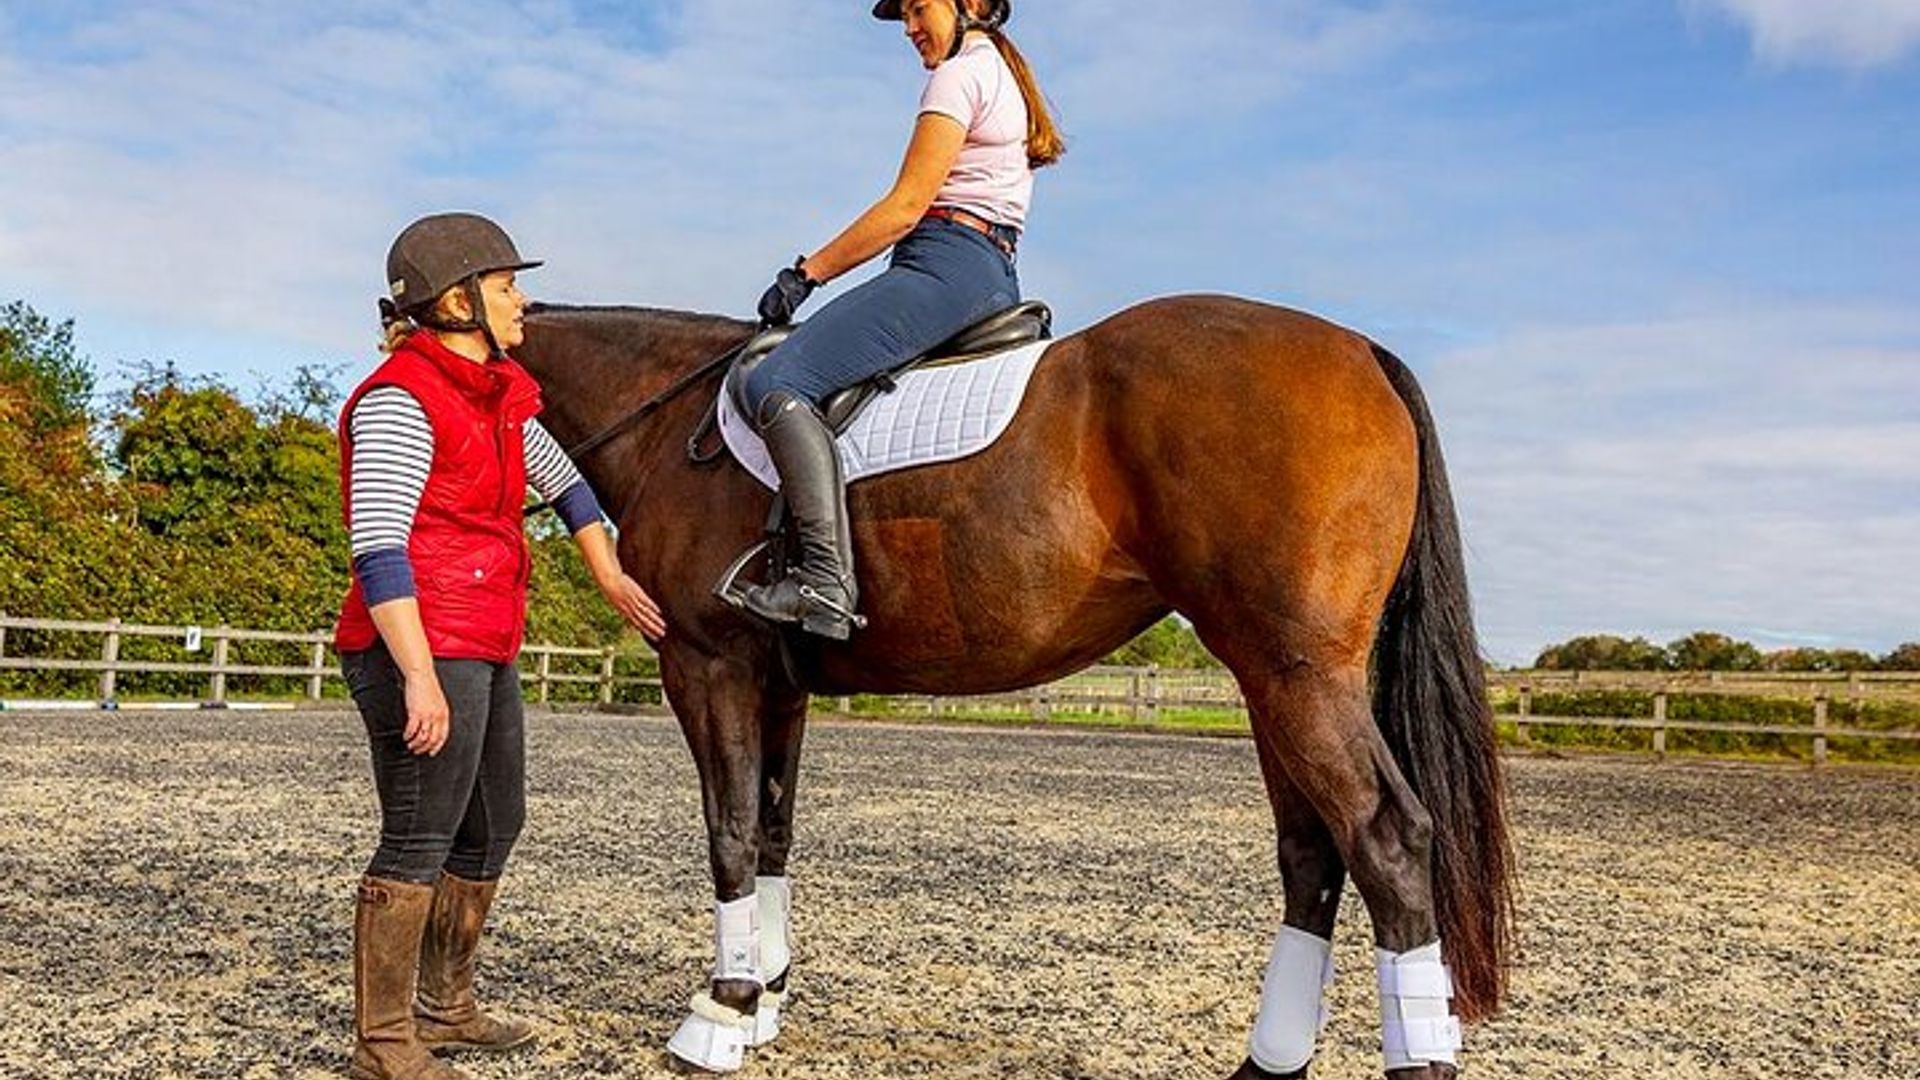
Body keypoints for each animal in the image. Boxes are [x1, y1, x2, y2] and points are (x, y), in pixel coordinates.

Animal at [516, 293, 1514, 1079]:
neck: (663, 418)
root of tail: (1361, 349)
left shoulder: (706, 660)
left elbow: (726, 831)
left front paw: (720, 1013)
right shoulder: (779, 681)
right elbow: (771, 832)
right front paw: (764, 998)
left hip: (1301, 677)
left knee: (1387, 841)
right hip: (1274, 682)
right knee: (1313, 855)